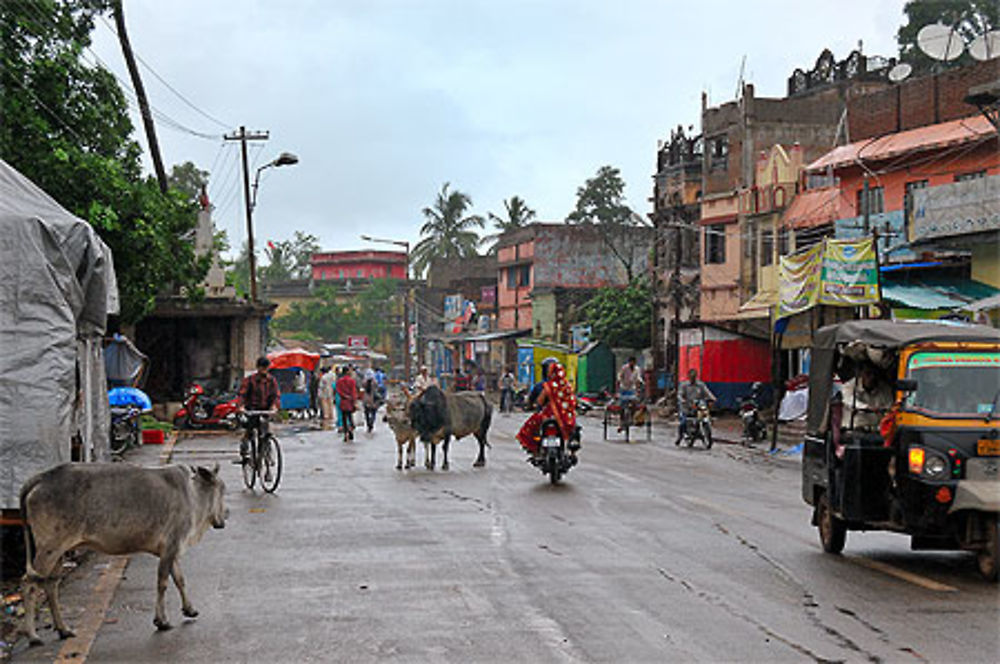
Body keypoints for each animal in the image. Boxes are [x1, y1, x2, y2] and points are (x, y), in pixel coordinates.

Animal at [20, 462, 228, 644]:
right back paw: (33, 636)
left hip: (59, 553)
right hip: (49, 549)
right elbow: (162, 583)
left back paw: (63, 629)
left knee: (50, 586)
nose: (225, 517)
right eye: (222, 489)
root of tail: (42, 477)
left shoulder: (172, 550)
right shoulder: (170, 546)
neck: (193, 494)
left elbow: (179, 580)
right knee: (30, 585)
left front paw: (189, 609)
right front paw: (161, 621)